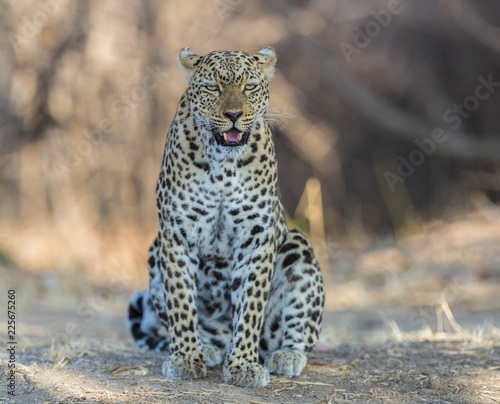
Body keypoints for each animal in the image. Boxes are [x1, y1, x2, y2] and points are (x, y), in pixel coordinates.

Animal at [127, 45, 326, 388]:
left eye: (250, 86)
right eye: (212, 88)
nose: (233, 115)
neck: (224, 164)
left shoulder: (257, 236)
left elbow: (250, 305)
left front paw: (244, 363)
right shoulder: (176, 233)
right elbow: (180, 301)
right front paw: (185, 356)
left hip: (296, 245)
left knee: (297, 330)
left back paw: (285, 355)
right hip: (154, 252)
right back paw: (207, 348)